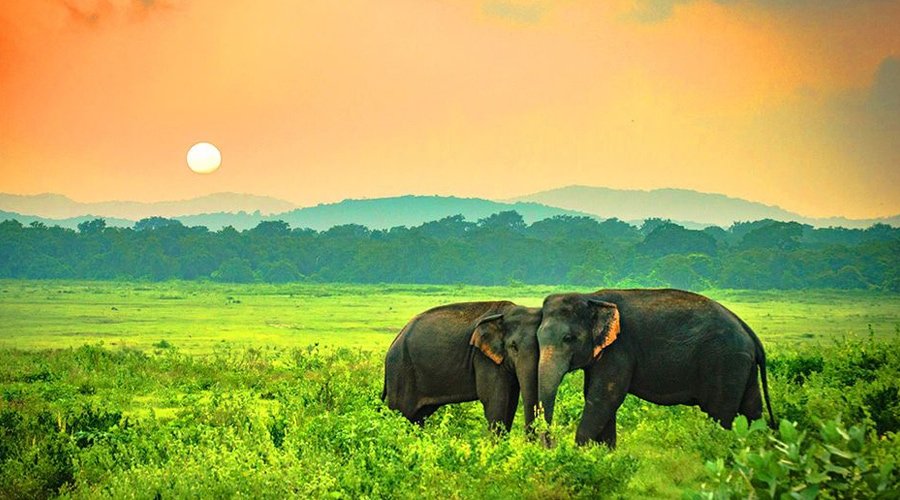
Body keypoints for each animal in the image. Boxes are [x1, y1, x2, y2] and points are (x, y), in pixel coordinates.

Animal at [382, 300, 540, 434]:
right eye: (514, 347)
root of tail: (394, 342)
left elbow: (511, 402)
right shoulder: (483, 358)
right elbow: (495, 401)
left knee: (417, 417)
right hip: (400, 370)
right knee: (402, 412)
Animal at [536, 288, 772, 448]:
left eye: (568, 338)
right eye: (537, 338)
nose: (552, 445)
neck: (591, 297)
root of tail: (748, 332)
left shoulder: (619, 349)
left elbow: (604, 398)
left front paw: (580, 454)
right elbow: (599, 399)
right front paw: (605, 455)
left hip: (726, 363)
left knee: (720, 414)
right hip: (742, 366)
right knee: (752, 409)